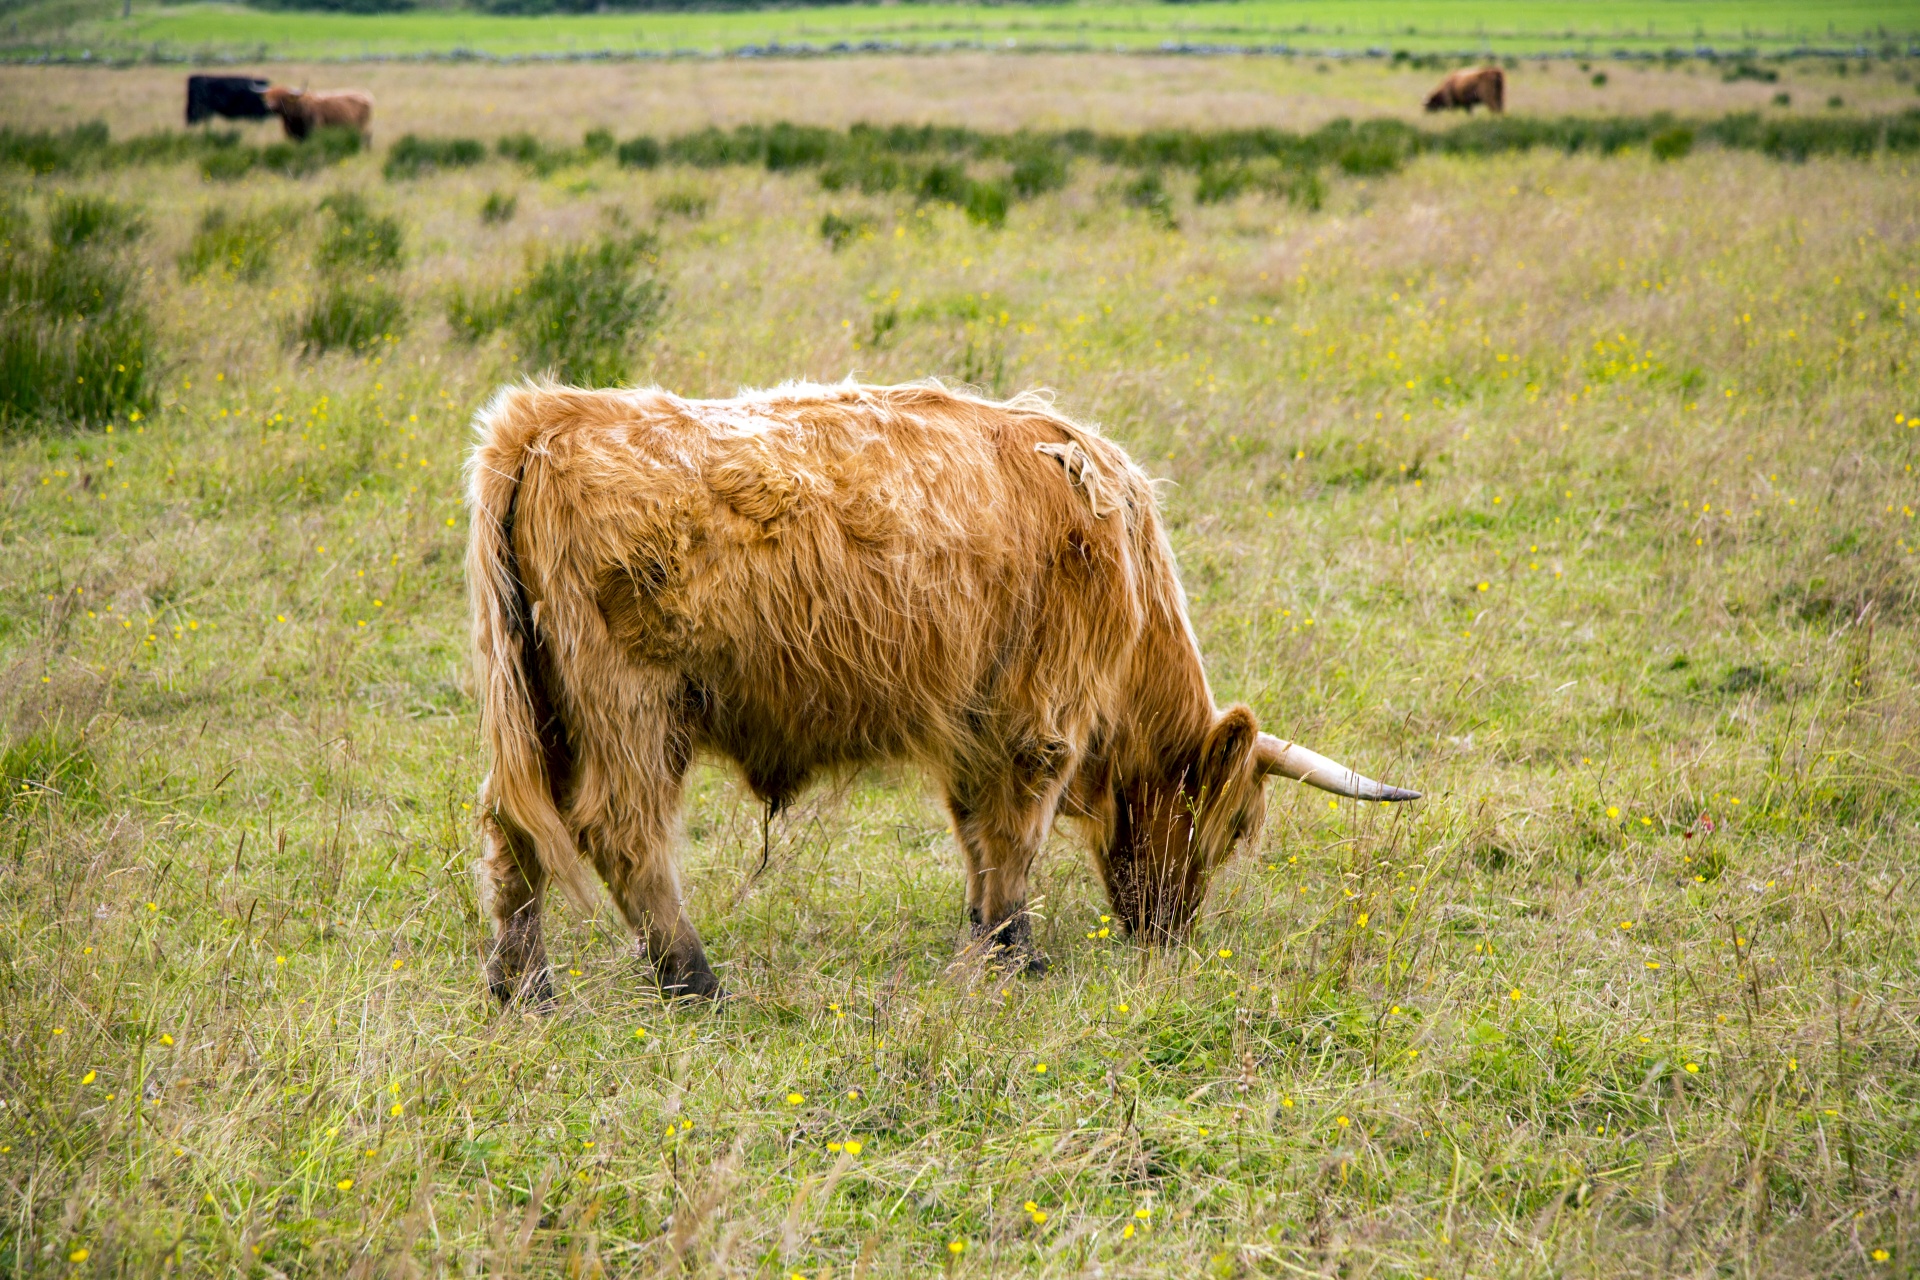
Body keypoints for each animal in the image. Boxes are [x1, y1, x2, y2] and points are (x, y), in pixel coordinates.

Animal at [470, 385, 1420, 1005]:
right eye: (1227, 829)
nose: (1168, 932)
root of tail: (543, 419)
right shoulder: (1043, 723)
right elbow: (1017, 836)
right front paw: (1015, 954)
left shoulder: (977, 725)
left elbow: (978, 836)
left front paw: (983, 935)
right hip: (631, 706)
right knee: (622, 832)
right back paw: (693, 980)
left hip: (538, 708)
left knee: (513, 827)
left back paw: (523, 986)